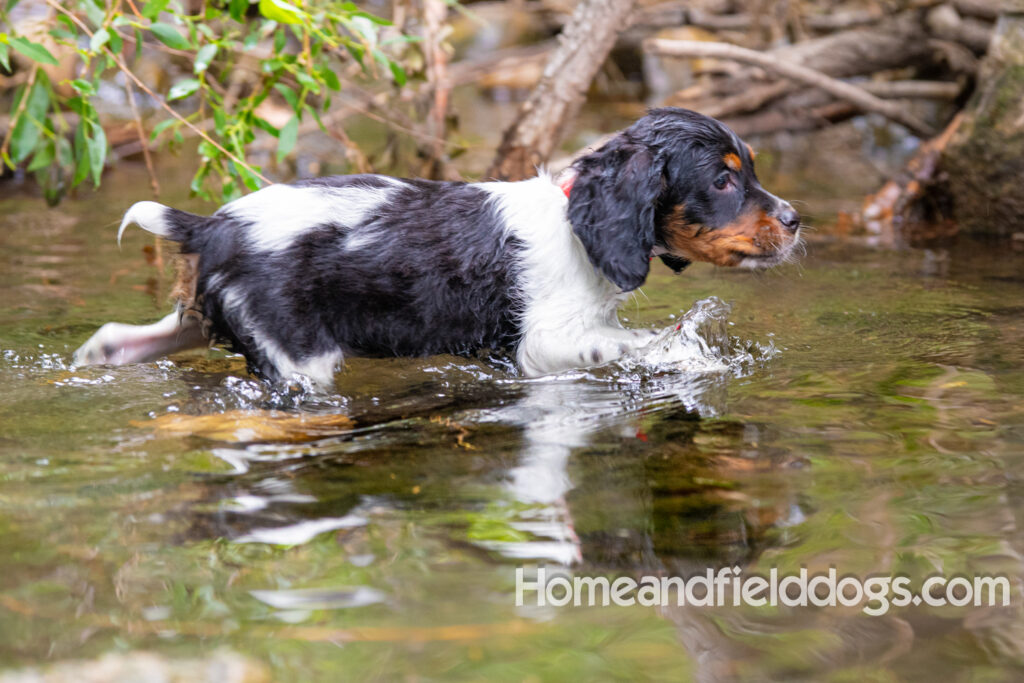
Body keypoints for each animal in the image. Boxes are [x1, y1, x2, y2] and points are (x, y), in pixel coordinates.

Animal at [75, 107, 802, 385]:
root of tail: (211, 225)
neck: (576, 225)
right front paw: (686, 354)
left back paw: (99, 354)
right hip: (297, 356)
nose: (796, 220)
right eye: (722, 180)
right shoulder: (543, 344)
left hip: (207, 314)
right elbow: (631, 344)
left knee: (125, 336)